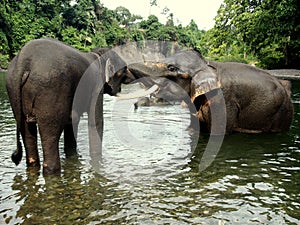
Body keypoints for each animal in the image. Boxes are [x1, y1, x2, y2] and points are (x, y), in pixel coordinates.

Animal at [4, 37, 132, 174]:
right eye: (124, 70)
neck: (97, 54)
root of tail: (22, 61)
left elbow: (72, 120)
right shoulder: (96, 86)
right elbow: (95, 122)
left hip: (13, 89)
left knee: (27, 132)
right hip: (50, 90)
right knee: (51, 135)